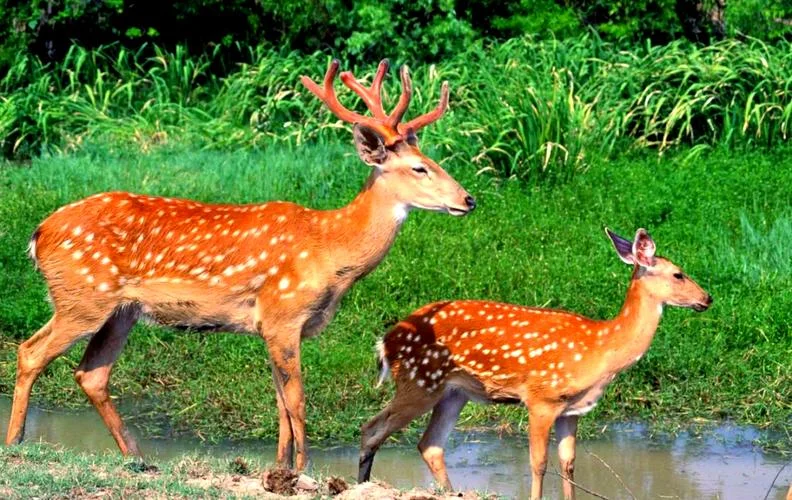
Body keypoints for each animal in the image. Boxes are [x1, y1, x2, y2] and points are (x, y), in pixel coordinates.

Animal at [5, 59, 476, 471]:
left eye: (437, 162)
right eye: (419, 167)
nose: (468, 199)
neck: (330, 252)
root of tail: (39, 233)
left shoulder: (270, 325)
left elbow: (280, 402)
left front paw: (280, 466)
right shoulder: (284, 313)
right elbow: (297, 400)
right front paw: (304, 470)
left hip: (121, 311)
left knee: (92, 374)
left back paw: (136, 456)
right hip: (82, 296)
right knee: (30, 351)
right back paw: (15, 442)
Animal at [358, 228, 712, 499]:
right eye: (679, 274)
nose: (707, 298)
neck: (601, 349)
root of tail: (385, 343)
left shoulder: (571, 409)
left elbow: (568, 462)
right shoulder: (542, 398)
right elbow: (539, 463)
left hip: (453, 392)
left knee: (430, 445)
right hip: (419, 381)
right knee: (371, 428)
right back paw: (362, 486)